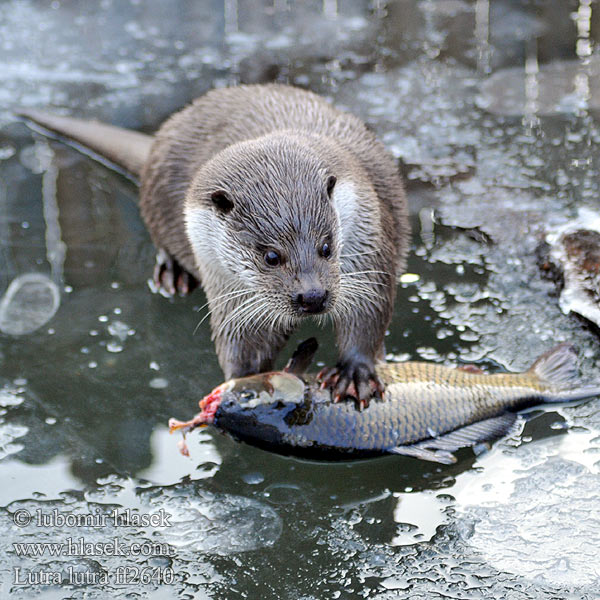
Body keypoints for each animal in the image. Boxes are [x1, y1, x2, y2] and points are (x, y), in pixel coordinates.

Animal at [19, 83, 412, 404]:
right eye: (271, 256)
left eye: (327, 247)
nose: (313, 296)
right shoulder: (221, 276)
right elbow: (245, 338)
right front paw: (246, 384)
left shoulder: (370, 238)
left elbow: (367, 312)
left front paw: (354, 373)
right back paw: (172, 273)